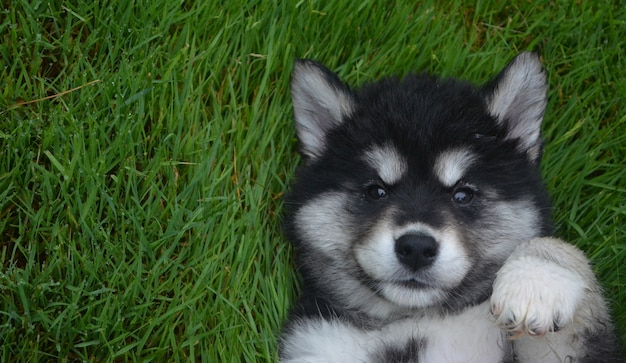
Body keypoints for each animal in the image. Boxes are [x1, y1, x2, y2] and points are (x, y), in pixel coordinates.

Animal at [280, 52, 620, 362]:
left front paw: (536, 279)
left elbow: (555, 245)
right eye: (376, 191)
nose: (416, 248)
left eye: (463, 195)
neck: (415, 318)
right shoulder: (317, 343)